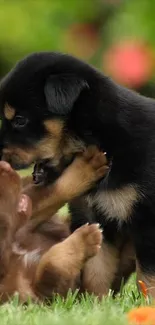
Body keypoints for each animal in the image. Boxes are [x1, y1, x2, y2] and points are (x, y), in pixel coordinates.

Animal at [0, 147, 107, 302]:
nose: (5, 166)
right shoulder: (39, 294)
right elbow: (50, 265)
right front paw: (85, 238)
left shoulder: (23, 226)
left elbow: (48, 193)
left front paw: (86, 168)